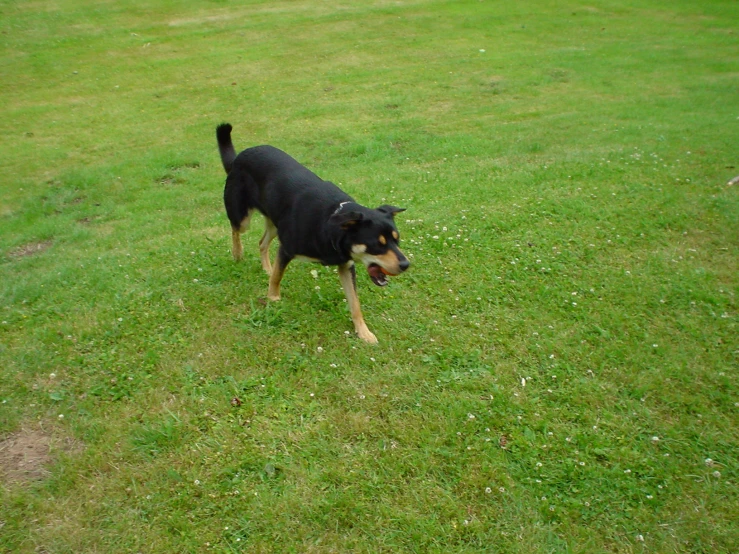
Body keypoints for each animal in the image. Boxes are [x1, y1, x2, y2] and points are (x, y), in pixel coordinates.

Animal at [217, 123, 410, 342]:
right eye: (378, 244)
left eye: (397, 240)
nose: (406, 265)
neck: (331, 223)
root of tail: (239, 157)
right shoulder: (287, 249)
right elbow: (277, 277)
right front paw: (273, 298)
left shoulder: (345, 264)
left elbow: (355, 303)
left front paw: (363, 332)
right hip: (243, 217)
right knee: (235, 229)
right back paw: (237, 253)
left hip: (274, 223)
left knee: (262, 242)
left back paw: (267, 267)